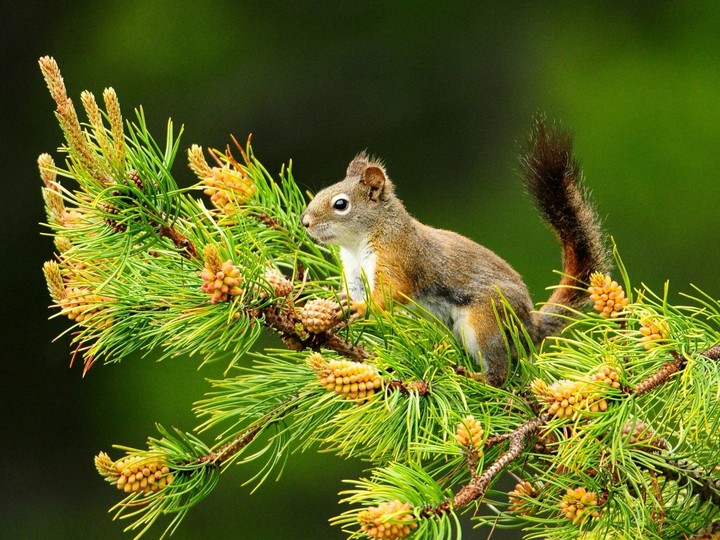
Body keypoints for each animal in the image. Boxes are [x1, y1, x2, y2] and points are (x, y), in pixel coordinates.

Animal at [300, 118, 609, 386]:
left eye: (341, 204)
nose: (305, 222)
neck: (357, 244)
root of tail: (530, 326)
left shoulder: (398, 257)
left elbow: (391, 291)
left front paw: (362, 307)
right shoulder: (354, 272)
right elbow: (352, 292)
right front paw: (338, 304)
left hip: (485, 321)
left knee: (499, 371)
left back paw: (476, 377)